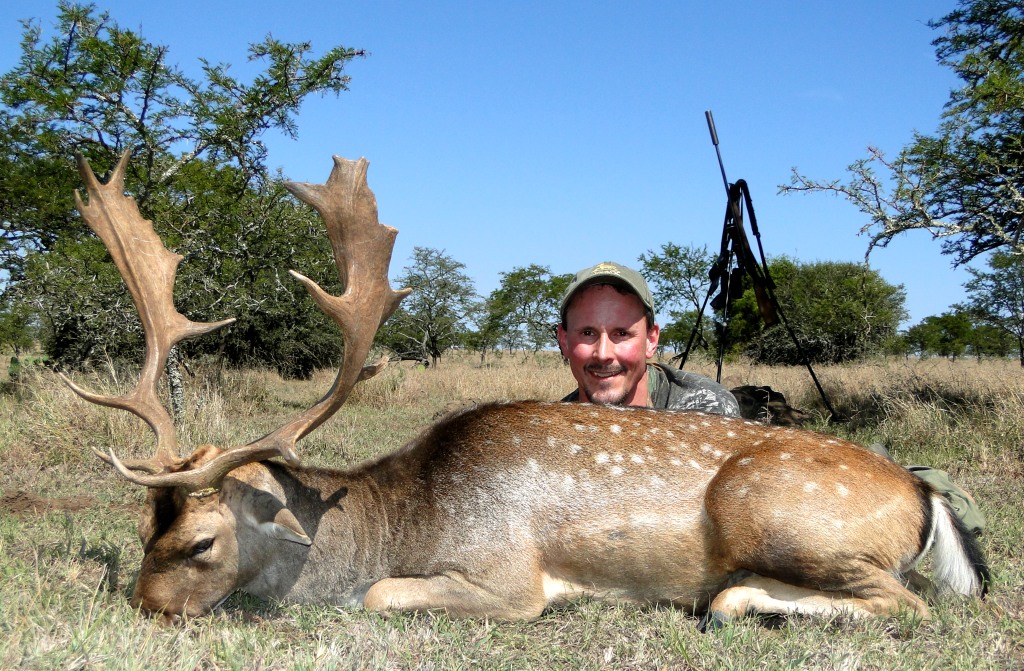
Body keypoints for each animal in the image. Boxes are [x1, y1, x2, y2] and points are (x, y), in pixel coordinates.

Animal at [63, 151, 989, 626]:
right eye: (142, 530)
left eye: (200, 543)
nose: (144, 609)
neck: (404, 515)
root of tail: (924, 493)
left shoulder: (504, 575)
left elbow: (383, 593)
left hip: (779, 511)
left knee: (908, 603)